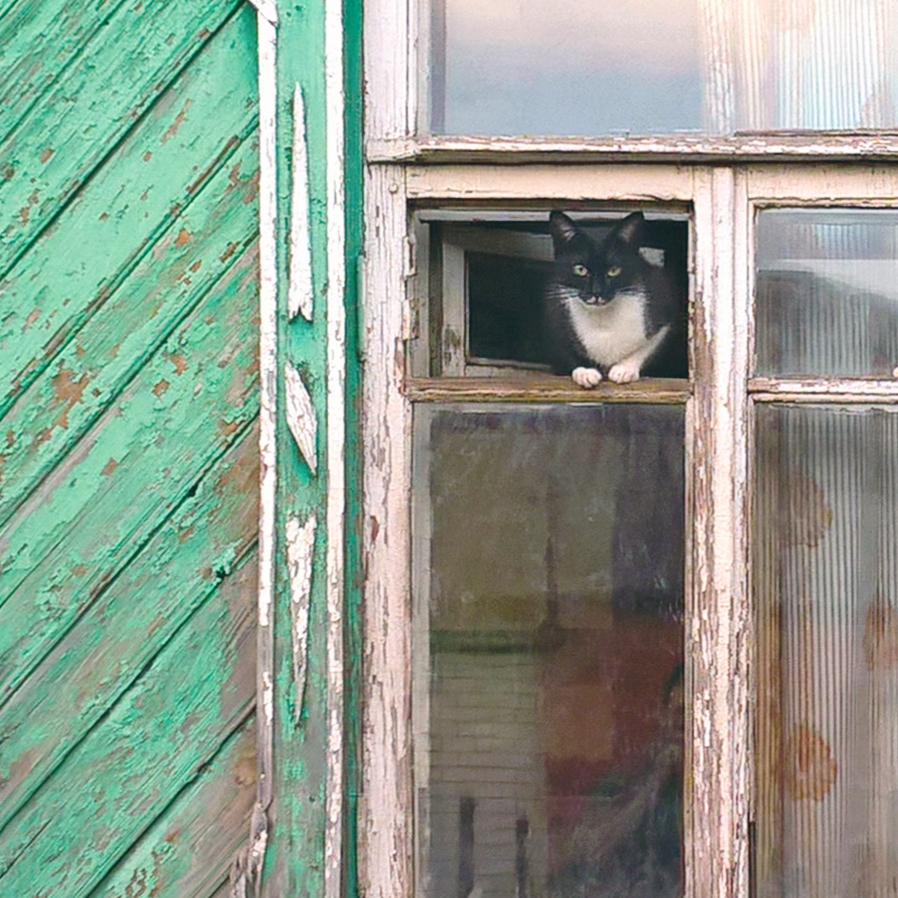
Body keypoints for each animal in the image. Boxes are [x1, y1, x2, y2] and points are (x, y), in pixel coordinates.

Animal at [544, 215, 684, 390]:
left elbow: (649, 345)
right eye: (580, 269)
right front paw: (585, 371)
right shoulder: (555, 314)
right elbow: (565, 350)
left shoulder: (662, 300)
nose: (597, 292)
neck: (602, 316)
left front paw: (625, 369)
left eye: (613, 270)